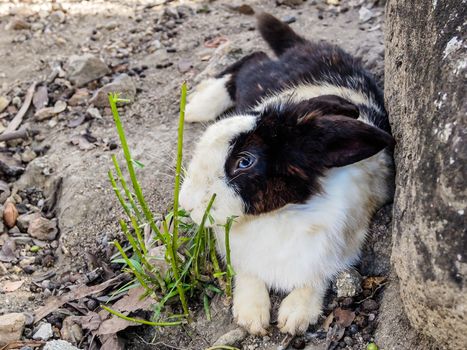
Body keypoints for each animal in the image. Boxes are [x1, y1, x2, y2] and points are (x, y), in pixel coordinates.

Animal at [179, 13, 394, 336]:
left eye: (244, 162)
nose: (186, 203)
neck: (278, 215)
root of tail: (305, 47)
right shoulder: (240, 255)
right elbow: (249, 275)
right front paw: (251, 316)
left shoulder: (341, 249)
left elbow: (316, 279)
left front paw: (295, 317)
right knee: (251, 60)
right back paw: (196, 106)